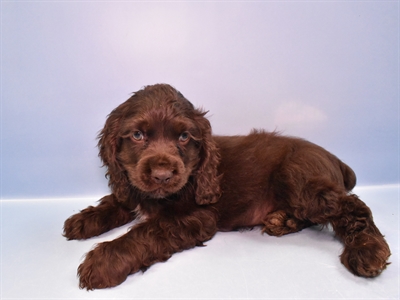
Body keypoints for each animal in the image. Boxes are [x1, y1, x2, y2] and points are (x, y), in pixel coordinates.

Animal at [63, 83, 390, 290]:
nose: (163, 175)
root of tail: (334, 158)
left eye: (184, 137)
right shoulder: (131, 183)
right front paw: (83, 220)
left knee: (352, 205)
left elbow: (145, 232)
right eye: (137, 135)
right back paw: (282, 221)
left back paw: (368, 251)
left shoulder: (196, 216)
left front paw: (103, 261)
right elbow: (117, 201)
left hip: (299, 180)